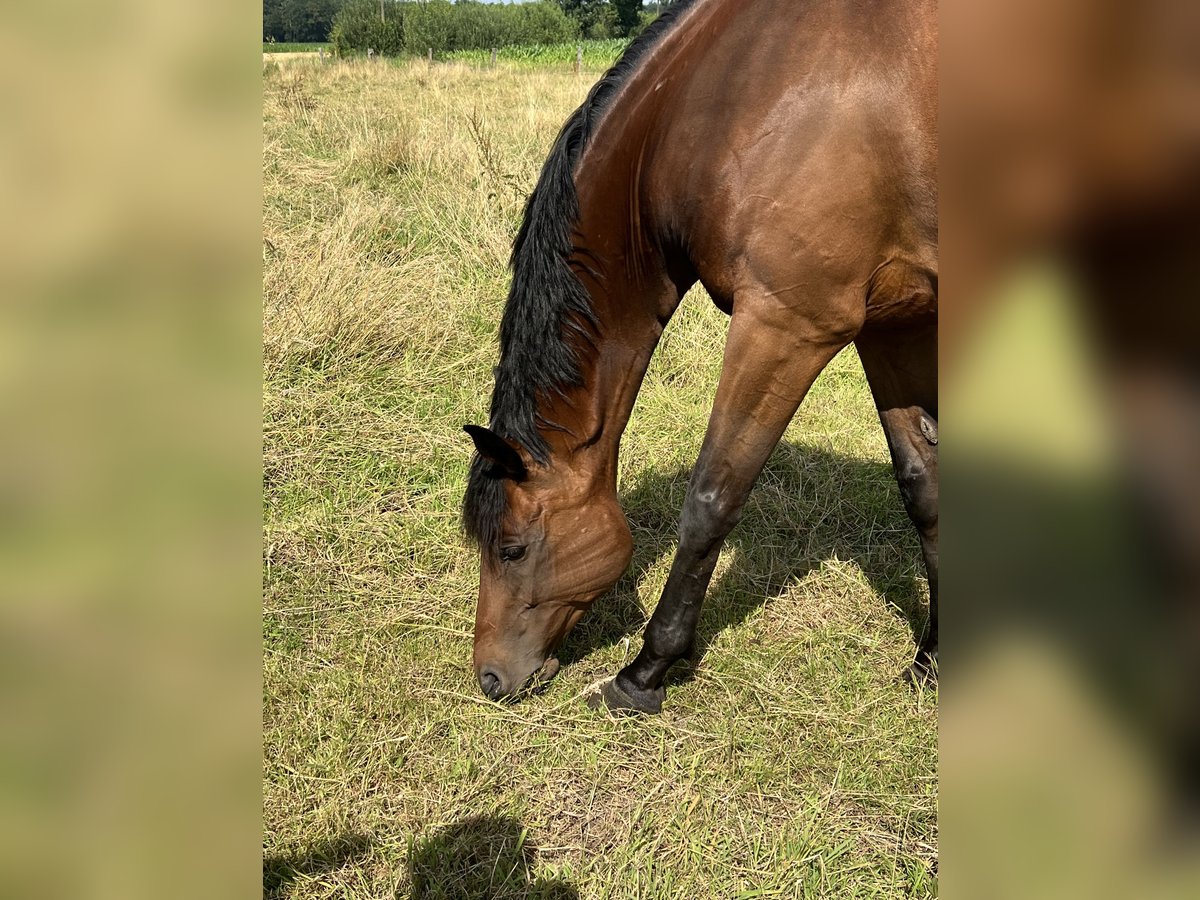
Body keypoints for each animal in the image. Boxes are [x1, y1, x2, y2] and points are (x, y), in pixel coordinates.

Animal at [458, 0, 936, 720]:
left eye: (512, 549)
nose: (490, 678)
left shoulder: (787, 324)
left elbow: (711, 498)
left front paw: (645, 671)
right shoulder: (890, 323)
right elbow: (923, 485)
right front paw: (932, 659)